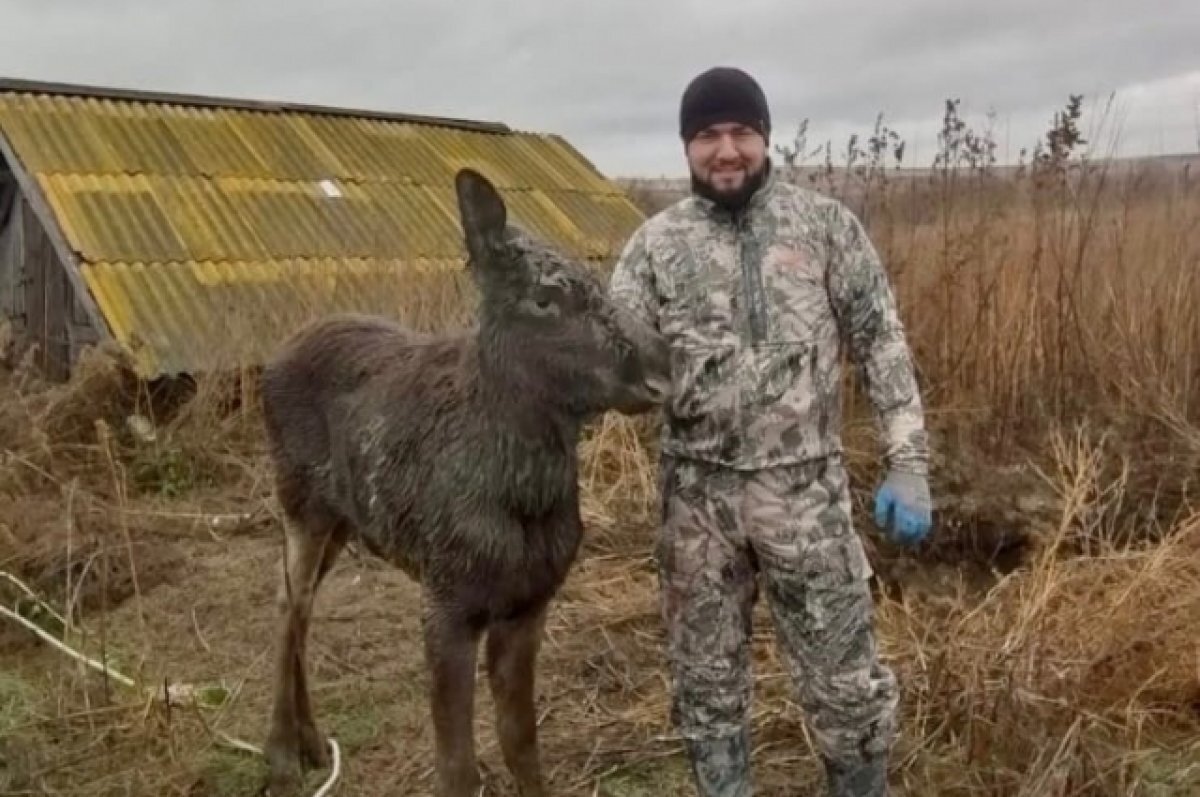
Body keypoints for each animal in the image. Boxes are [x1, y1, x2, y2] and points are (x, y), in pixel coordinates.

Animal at [261, 169, 672, 797]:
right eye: (543, 298)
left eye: (598, 282)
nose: (659, 371)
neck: (524, 498)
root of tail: (272, 360)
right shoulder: (446, 604)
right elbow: (458, 766)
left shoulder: (530, 601)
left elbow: (521, 740)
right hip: (299, 501)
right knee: (288, 603)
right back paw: (281, 754)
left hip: (342, 520)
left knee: (302, 606)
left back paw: (309, 740)